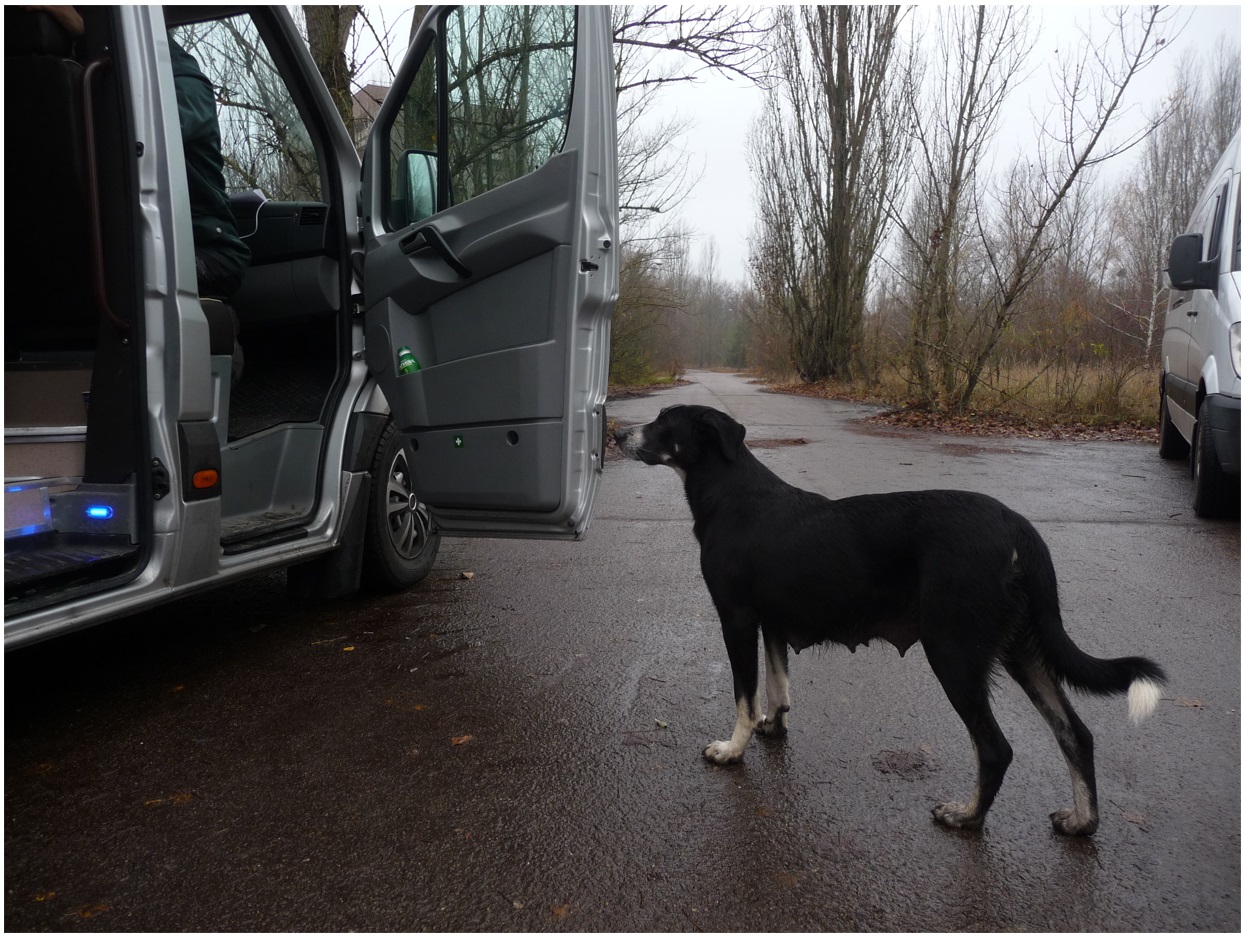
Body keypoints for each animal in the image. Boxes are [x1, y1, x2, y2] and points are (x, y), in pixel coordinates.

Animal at [616, 402, 1168, 835]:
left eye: (664, 422)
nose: (617, 434)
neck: (730, 493)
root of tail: (1018, 527)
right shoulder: (771, 623)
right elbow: (777, 687)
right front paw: (775, 726)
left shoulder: (736, 619)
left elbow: (744, 697)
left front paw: (733, 750)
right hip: (1022, 651)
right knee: (1075, 734)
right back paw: (1082, 821)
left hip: (954, 651)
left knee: (996, 749)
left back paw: (967, 816)